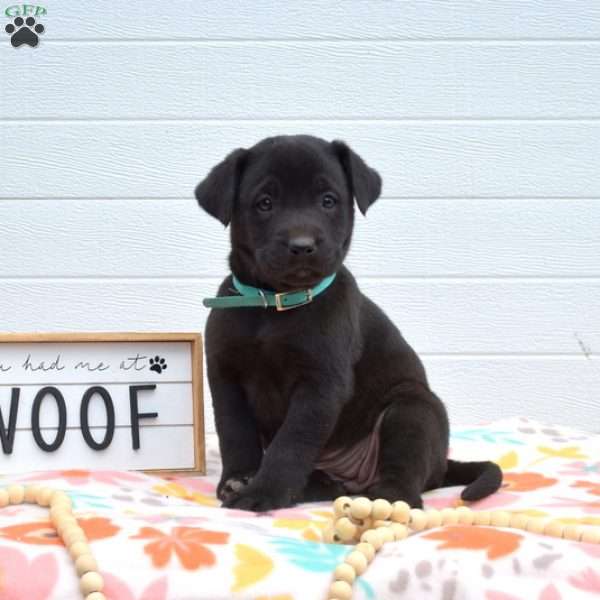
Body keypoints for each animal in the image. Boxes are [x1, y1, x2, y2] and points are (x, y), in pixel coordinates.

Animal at [197, 136, 502, 510]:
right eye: (264, 203)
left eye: (328, 200)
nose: (302, 246)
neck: (274, 306)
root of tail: (442, 466)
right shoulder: (226, 376)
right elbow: (235, 433)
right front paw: (239, 479)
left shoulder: (321, 383)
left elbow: (291, 443)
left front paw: (264, 492)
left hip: (412, 409)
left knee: (406, 483)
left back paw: (384, 498)